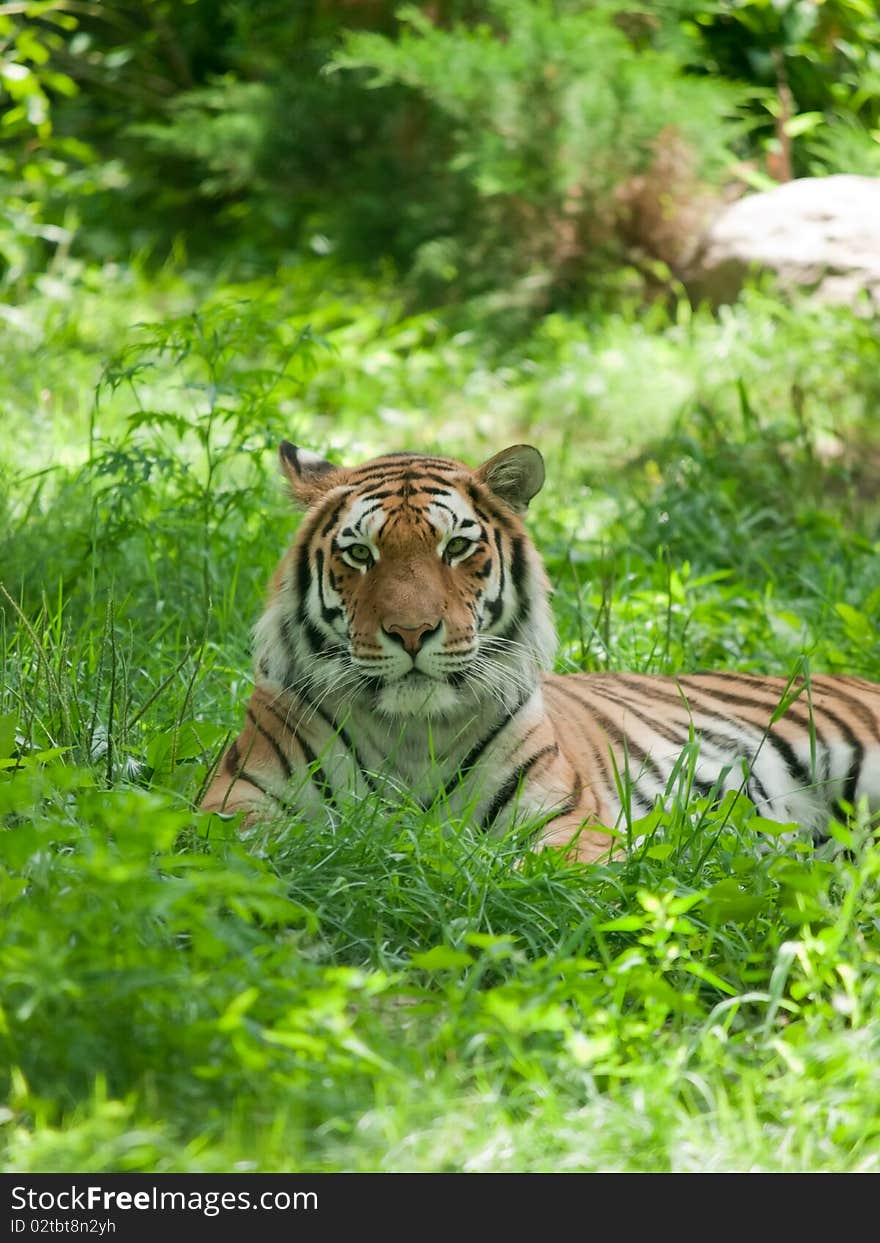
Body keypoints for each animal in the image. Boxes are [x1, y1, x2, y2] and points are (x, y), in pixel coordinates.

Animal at [198, 442, 879, 860]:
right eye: (360, 553)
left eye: (456, 548)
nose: (413, 633)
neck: (411, 734)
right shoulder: (236, 805)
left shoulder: (565, 823)